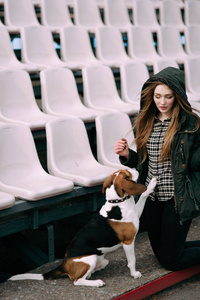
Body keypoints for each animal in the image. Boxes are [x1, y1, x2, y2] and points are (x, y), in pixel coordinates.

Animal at [9, 170, 156, 288]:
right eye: (128, 173)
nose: (135, 168)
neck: (116, 202)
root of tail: (63, 264)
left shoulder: (136, 213)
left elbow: (143, 196)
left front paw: (151, 185)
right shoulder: (128, 241)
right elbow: (132, 260)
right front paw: (134, 274)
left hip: (101, 259)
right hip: (90, 259)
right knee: (77, 281)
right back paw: (96, 282)